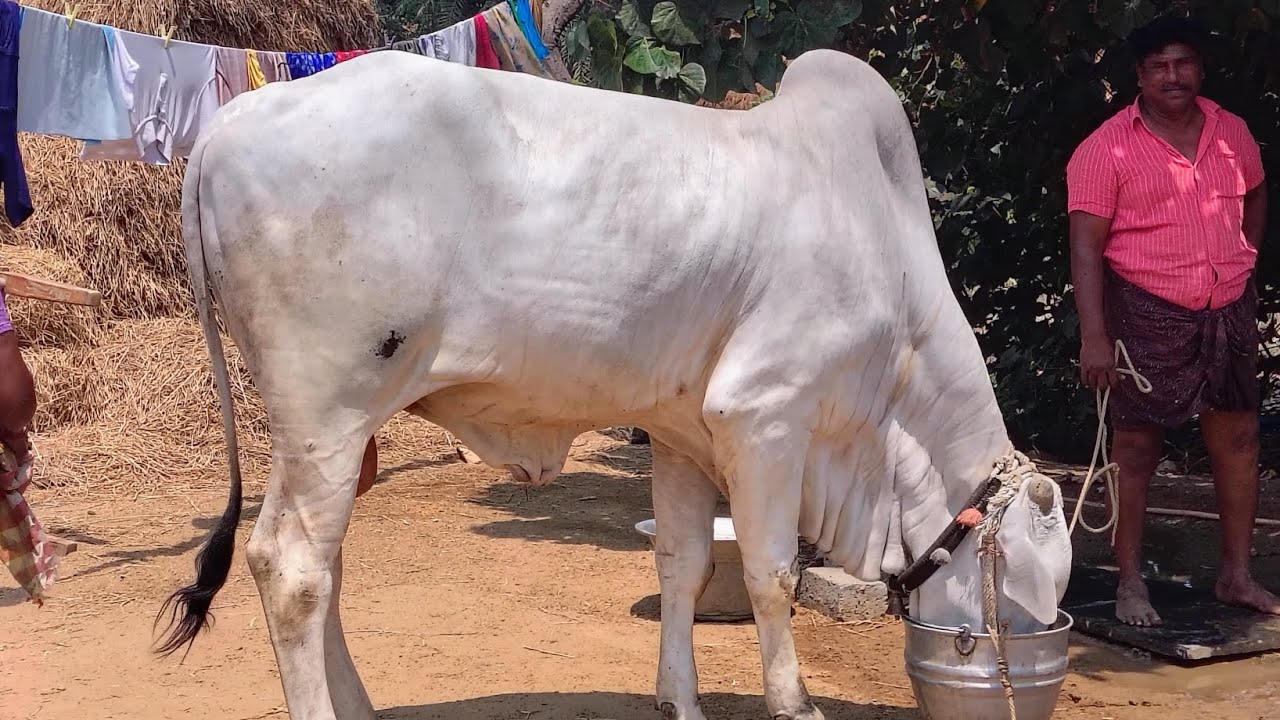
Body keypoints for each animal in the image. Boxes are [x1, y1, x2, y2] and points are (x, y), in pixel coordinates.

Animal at [158, 48, 1073, 720]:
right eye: (1028, 592)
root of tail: (231, 122)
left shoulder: (681, 432)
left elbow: (684, 566)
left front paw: (681, 701)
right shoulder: (767, 416)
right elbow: (773, 575)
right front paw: (795, 703)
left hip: (334, 436)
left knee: (326, 566)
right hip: (328, 410)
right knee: (290, 569)